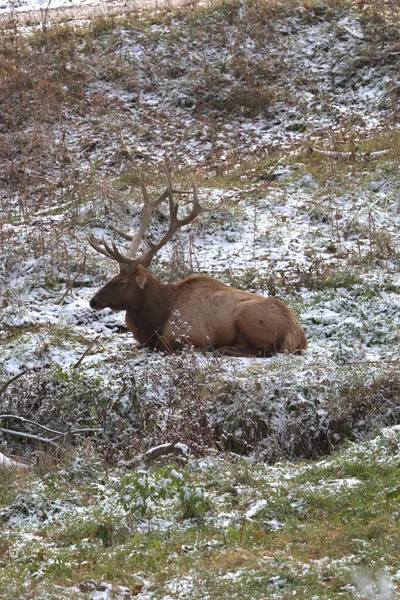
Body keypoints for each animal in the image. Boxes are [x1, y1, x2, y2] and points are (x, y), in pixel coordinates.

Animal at [88, 169, 306, 356]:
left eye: (122, 282)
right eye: (113, 277)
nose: (93, 301)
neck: (156, 318)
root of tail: (300, 338)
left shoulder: (191, 334)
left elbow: (168, 346)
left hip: (250, 318)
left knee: (265, 350)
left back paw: (223, 349)